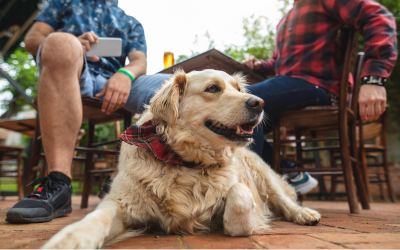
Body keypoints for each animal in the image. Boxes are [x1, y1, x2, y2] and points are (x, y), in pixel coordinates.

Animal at [42, 69, 320, 249]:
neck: (187, 163)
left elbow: (239, 195)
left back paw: (305, 214)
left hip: (263, 175)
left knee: (285, 201)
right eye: (212, 88)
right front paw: (70, 241)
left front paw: (238, 223)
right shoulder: (120, 203)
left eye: (239, 89)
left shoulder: (241, 190)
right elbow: (94, 219)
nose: (260, 103)